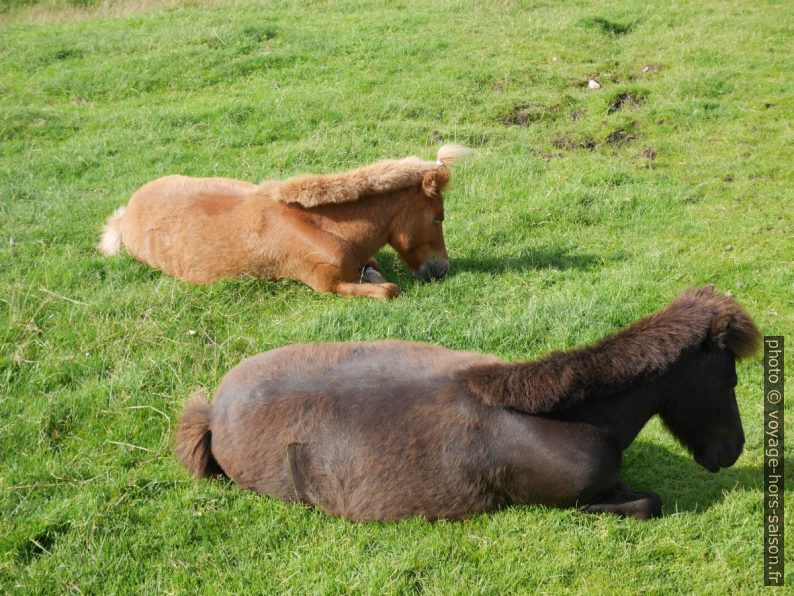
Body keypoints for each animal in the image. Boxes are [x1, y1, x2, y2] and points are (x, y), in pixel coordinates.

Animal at [96, 145, 468, 298]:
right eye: (438, 217)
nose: (442, 270)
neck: (327, 228)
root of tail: (125, 214)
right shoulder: (327, 286)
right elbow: (390, 289)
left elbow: (375, 270)